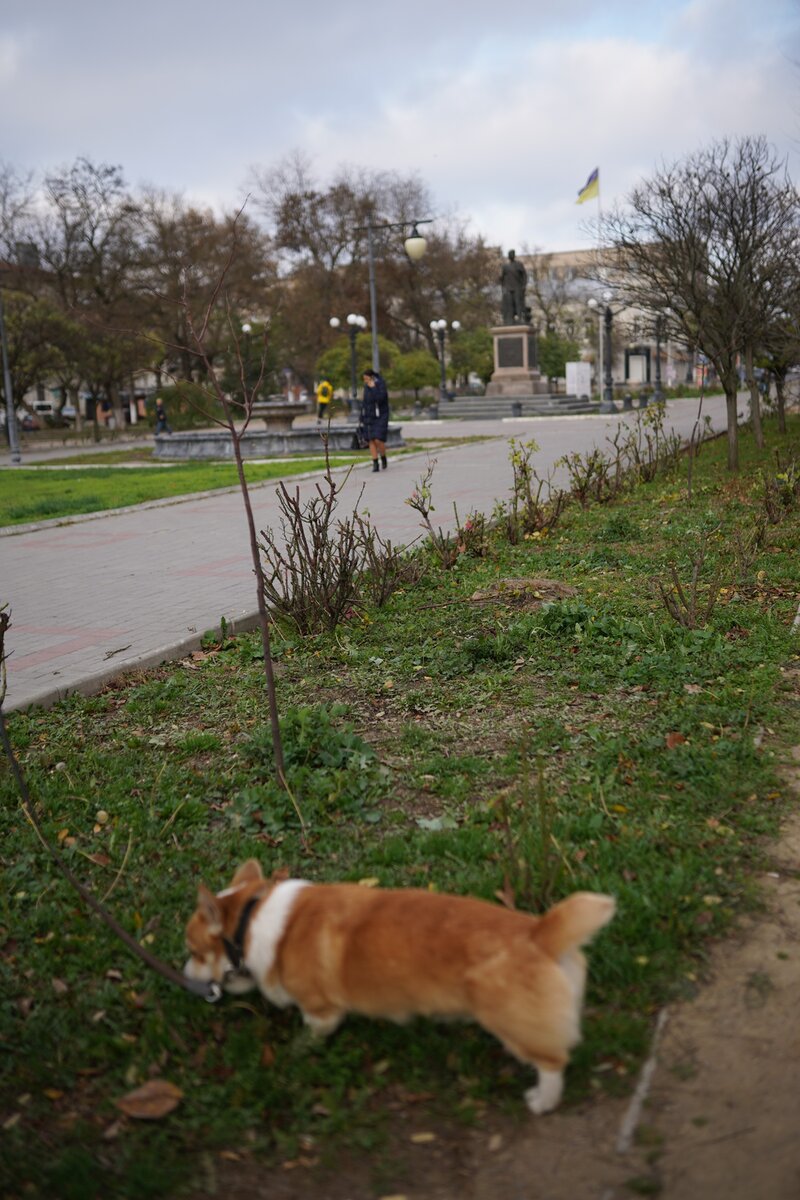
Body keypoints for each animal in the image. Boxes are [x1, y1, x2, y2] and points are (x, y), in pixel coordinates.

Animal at [184, 859, 618, 1108]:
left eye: (194, 951)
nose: (186, 976)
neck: (252, 920)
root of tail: (541, 933)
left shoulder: (320, 1008)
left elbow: (314, 1031)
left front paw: (297, 1051)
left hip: (512, 1025)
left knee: (552, 1063)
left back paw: (542, 1100)